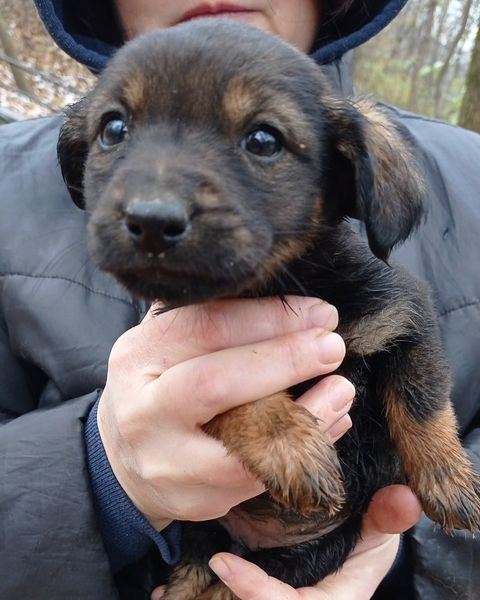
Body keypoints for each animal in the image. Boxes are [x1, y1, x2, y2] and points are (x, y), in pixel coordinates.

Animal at [58, 19, 480, 600]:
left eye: (263, 140)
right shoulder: (191, 358)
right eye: (114, 129)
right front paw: (290, 441)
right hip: (212, 536)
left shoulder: (404, 314)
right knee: (207, 568)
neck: (269, 287)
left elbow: (422, 401)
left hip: (309, 553)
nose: (152, 221)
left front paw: (450, 480)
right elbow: (240, 390)